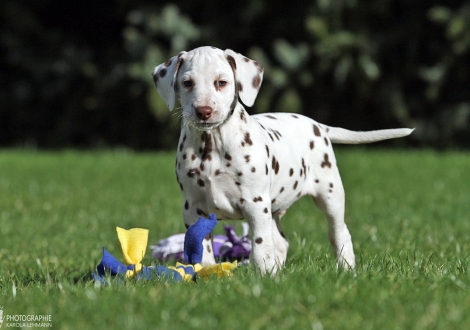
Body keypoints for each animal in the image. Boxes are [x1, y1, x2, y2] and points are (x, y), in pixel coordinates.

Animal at [152, 45, 414, 274]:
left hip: (330, 195)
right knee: (280, 242)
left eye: (221, 82)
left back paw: (346, 269)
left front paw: (261, 275)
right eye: (187, 83)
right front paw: (206, 272)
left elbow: (259, 245)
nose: (203, 111)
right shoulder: (193, 208)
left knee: (339, 233)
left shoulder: (256, 204)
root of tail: (318, 126)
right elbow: (200, 246)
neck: (213, 145)